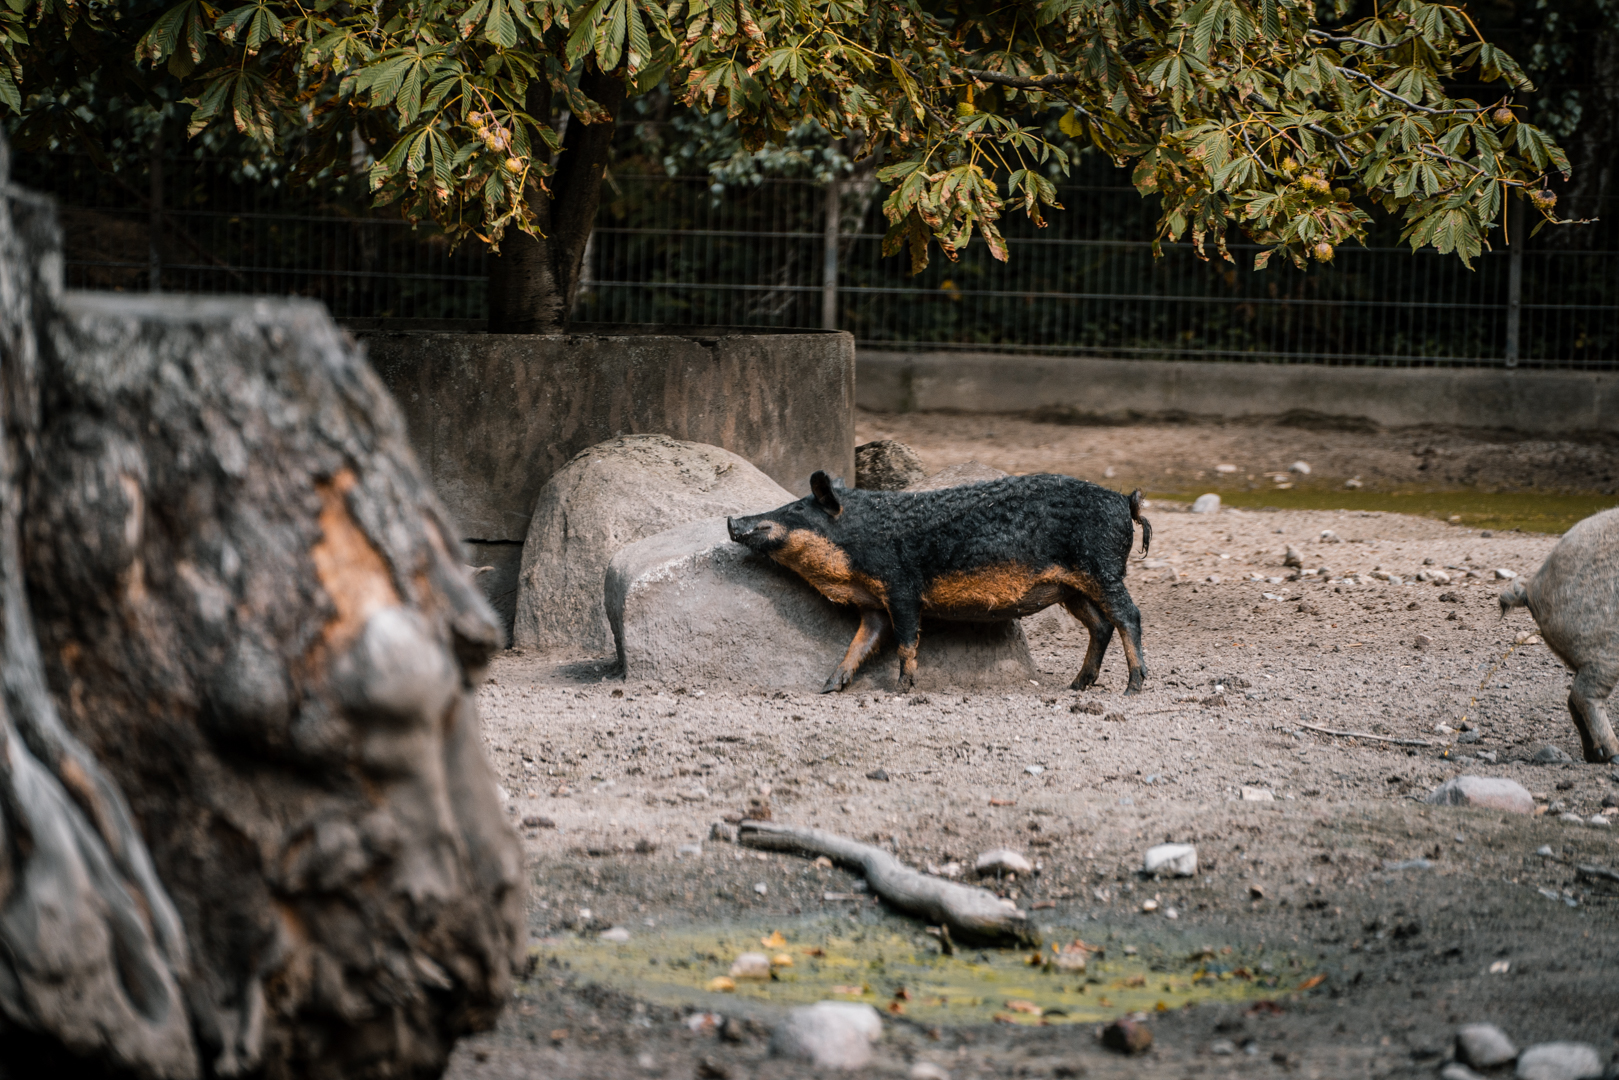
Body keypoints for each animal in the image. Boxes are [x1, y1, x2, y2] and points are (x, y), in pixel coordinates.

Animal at [726, 470, 1152, 694]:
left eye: (795, 508)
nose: (732, 520)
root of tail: (1124, 501)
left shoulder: (902, 589)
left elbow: (906, 640)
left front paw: (902, 688)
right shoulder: (874, 606)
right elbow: (859, 643)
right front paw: (829, 687)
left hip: (1102, 569)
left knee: (1128, 615)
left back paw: (1133, 687)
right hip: (1071, 588)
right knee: (1100, 625)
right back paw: (1076, 686)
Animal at [1500, 506, 1619, 764]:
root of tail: (1533, 588)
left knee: (1572, 699)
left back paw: (1593, 755)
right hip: (1605, 649)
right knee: (1584, 696)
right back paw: (1614, 754)